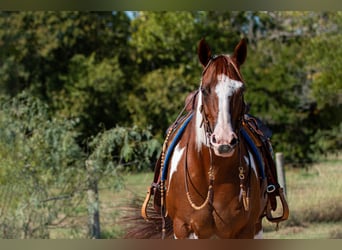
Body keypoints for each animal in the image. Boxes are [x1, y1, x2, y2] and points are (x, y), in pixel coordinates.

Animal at [125, 38, 288, 239]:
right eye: (204, 89)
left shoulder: (245, 229)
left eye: (241, 89)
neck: (212, 175)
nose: (224, 141)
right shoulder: (183, 228)